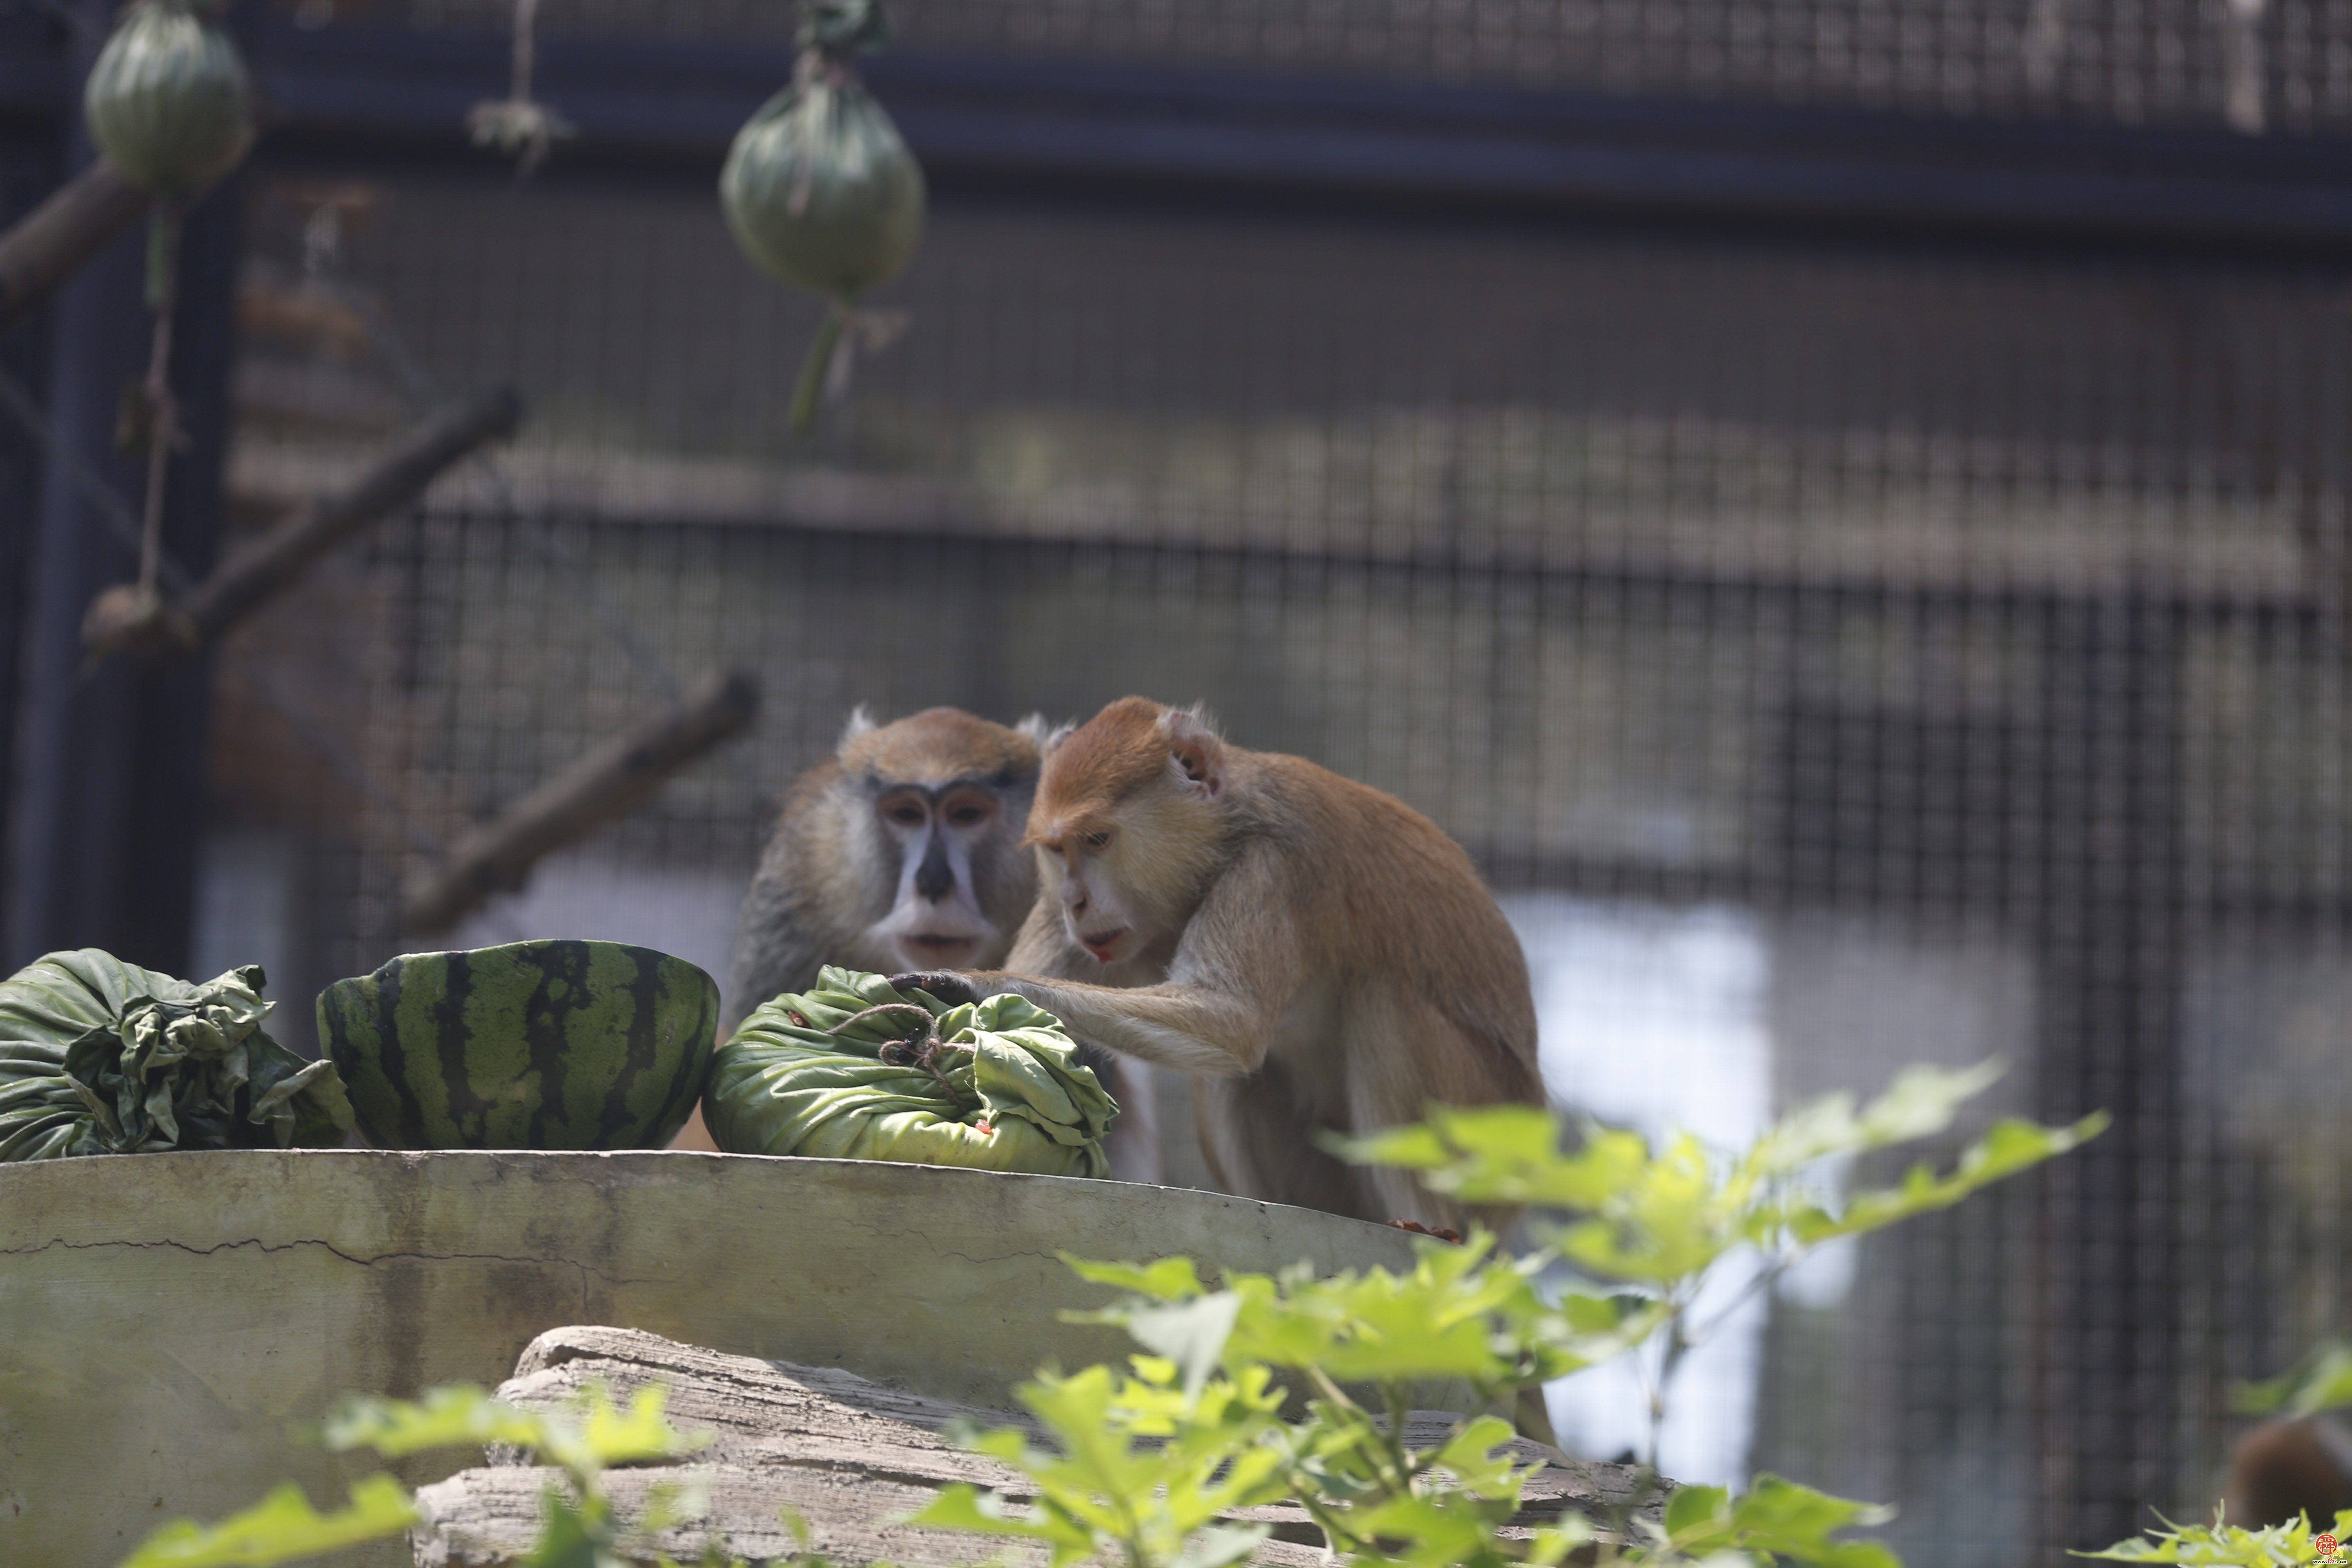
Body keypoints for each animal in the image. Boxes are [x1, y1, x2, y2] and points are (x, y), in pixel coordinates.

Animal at [884, 700, 1543, 1241]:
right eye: (1057, 848)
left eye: (1098, 840)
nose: (1078, 903)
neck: (1221, 833)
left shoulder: (1271, 867)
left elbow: (1233, 1021)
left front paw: (971, 985)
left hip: (1489, 1130)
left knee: (1384, 1001)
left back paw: (1432, 1231)